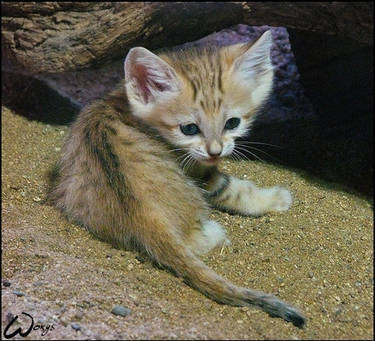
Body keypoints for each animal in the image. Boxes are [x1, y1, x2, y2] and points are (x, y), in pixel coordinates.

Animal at [50, 30, 306, 326]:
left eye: (233, 123)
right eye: (189, 129)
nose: (216, 151)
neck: (123, 101)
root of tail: (144, 215)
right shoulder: (202, 174)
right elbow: (234, 189)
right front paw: (275, 199)